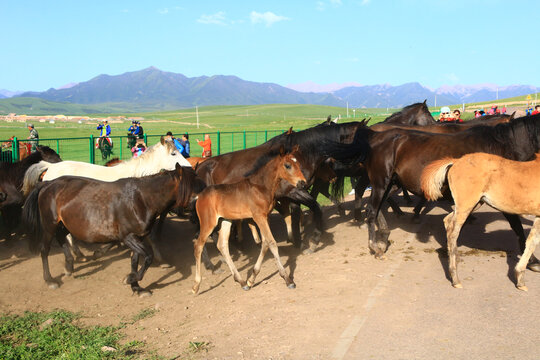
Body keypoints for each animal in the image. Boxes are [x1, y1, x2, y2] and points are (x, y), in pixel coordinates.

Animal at [22, 165, 206, 296]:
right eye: (196, 186)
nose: (203, 207)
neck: (141, 200)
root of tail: (47, 184)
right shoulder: (128, 237)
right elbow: (148, 257)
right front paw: (130, 279)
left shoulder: (138, 237)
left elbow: (135, 261)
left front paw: (136, 287)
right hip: (49, 224)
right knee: (44, 249)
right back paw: (50, 280)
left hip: (62, 224)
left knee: (62, 237)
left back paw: (69, 265)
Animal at [192, 146, 306, 292]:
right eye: (287, 165)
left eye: (298, 163)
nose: (302, 183)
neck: (261, 187)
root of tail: (199, 196)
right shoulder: (259, 217)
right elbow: (272, 243)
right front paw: (288, 279)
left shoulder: (265, 217)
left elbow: (265, 243)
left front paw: (251, 279)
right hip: (208, 223)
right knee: (198, 245)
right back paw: (196, 286)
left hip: (225, 220)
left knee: (222, 245)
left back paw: (242, 282)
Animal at [424, 153, 540, 292]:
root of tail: (456, 161)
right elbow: (532, 242)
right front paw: (520, 279)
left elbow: (531, 241)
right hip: (466, 204)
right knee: (453, 231)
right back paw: (455, 278)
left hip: (475, 203)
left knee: (447, 220)